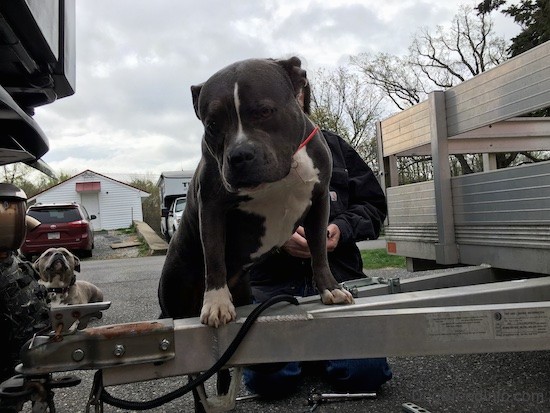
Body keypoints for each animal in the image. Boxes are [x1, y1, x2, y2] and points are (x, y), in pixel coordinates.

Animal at [157, 55, 356, 326]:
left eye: (264, 111)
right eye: (212, 124)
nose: (239, 156)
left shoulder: (320, 200)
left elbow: (318, 249)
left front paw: (331, 288)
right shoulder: (211, 208)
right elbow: (214, 256)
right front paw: (217, 304)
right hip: (175, 290)